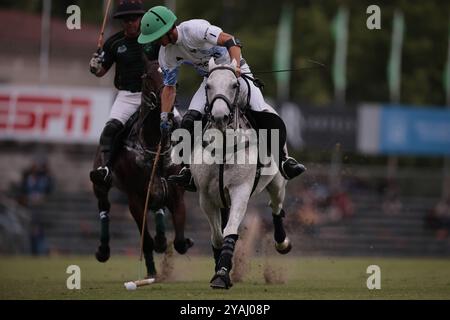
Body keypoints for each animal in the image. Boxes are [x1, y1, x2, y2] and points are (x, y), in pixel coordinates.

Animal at [91, 58, 193, 278]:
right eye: (147, 76)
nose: (169, 105)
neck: (156, 145)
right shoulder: (135, 200)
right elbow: (146, 241)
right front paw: (151, 271)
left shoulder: (176, 196)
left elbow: (180, 242)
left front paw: (180, 241)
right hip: (100, 184)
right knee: (104, 207)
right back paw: (103, 251)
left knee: (158, 209)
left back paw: (162, 240)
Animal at [190, 58, 292, 290]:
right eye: (208, 86)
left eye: (235, 85)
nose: (220, 117)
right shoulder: (205, 197)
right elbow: (218, 236)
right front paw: (220, 269)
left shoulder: (241, 191)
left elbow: (230, 231)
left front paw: (222, 275)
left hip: (277, 183)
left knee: (276, 207)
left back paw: (282, 242)